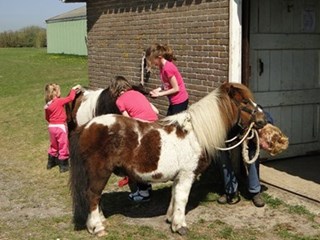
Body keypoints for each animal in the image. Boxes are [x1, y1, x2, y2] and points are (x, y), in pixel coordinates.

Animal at [70, 82, 268, 236]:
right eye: (244, 101)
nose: (262, 120)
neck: (195, 133)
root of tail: (86, 127)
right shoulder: (187, 174)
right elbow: (182, 199)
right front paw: (180, 226)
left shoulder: (179, 176)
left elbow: (175, 197)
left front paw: (171, 219)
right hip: (100, 172)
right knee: (93, 195)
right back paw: (97, 227)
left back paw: (99, 221)